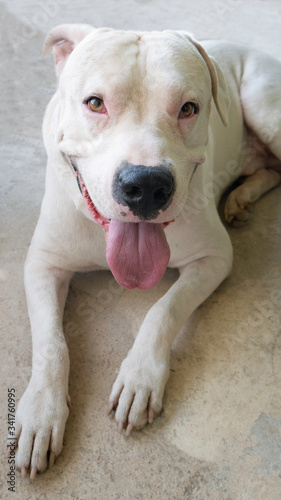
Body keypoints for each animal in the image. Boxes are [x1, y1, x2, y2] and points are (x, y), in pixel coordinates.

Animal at [12, 23, 280, 476]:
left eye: (189, 108)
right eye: (95, 103)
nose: (147, 184)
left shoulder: (214, 259)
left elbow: (163, 309)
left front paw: (140, 378)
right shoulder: (43, 265)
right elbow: (51, 343)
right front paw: (41, 414)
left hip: (263, 107)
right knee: (271, 170)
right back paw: (241, 197)